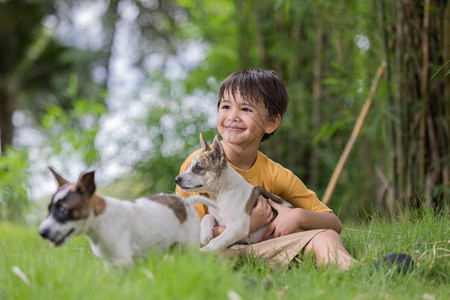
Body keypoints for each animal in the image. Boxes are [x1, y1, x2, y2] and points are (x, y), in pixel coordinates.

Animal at [37, 166, 217, 268]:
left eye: (62, 210)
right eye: (49, 209)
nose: (42, 233)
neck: (102, 221)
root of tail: (185, 202)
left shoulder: (123, 261)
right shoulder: (110, 263)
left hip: (189, 246)